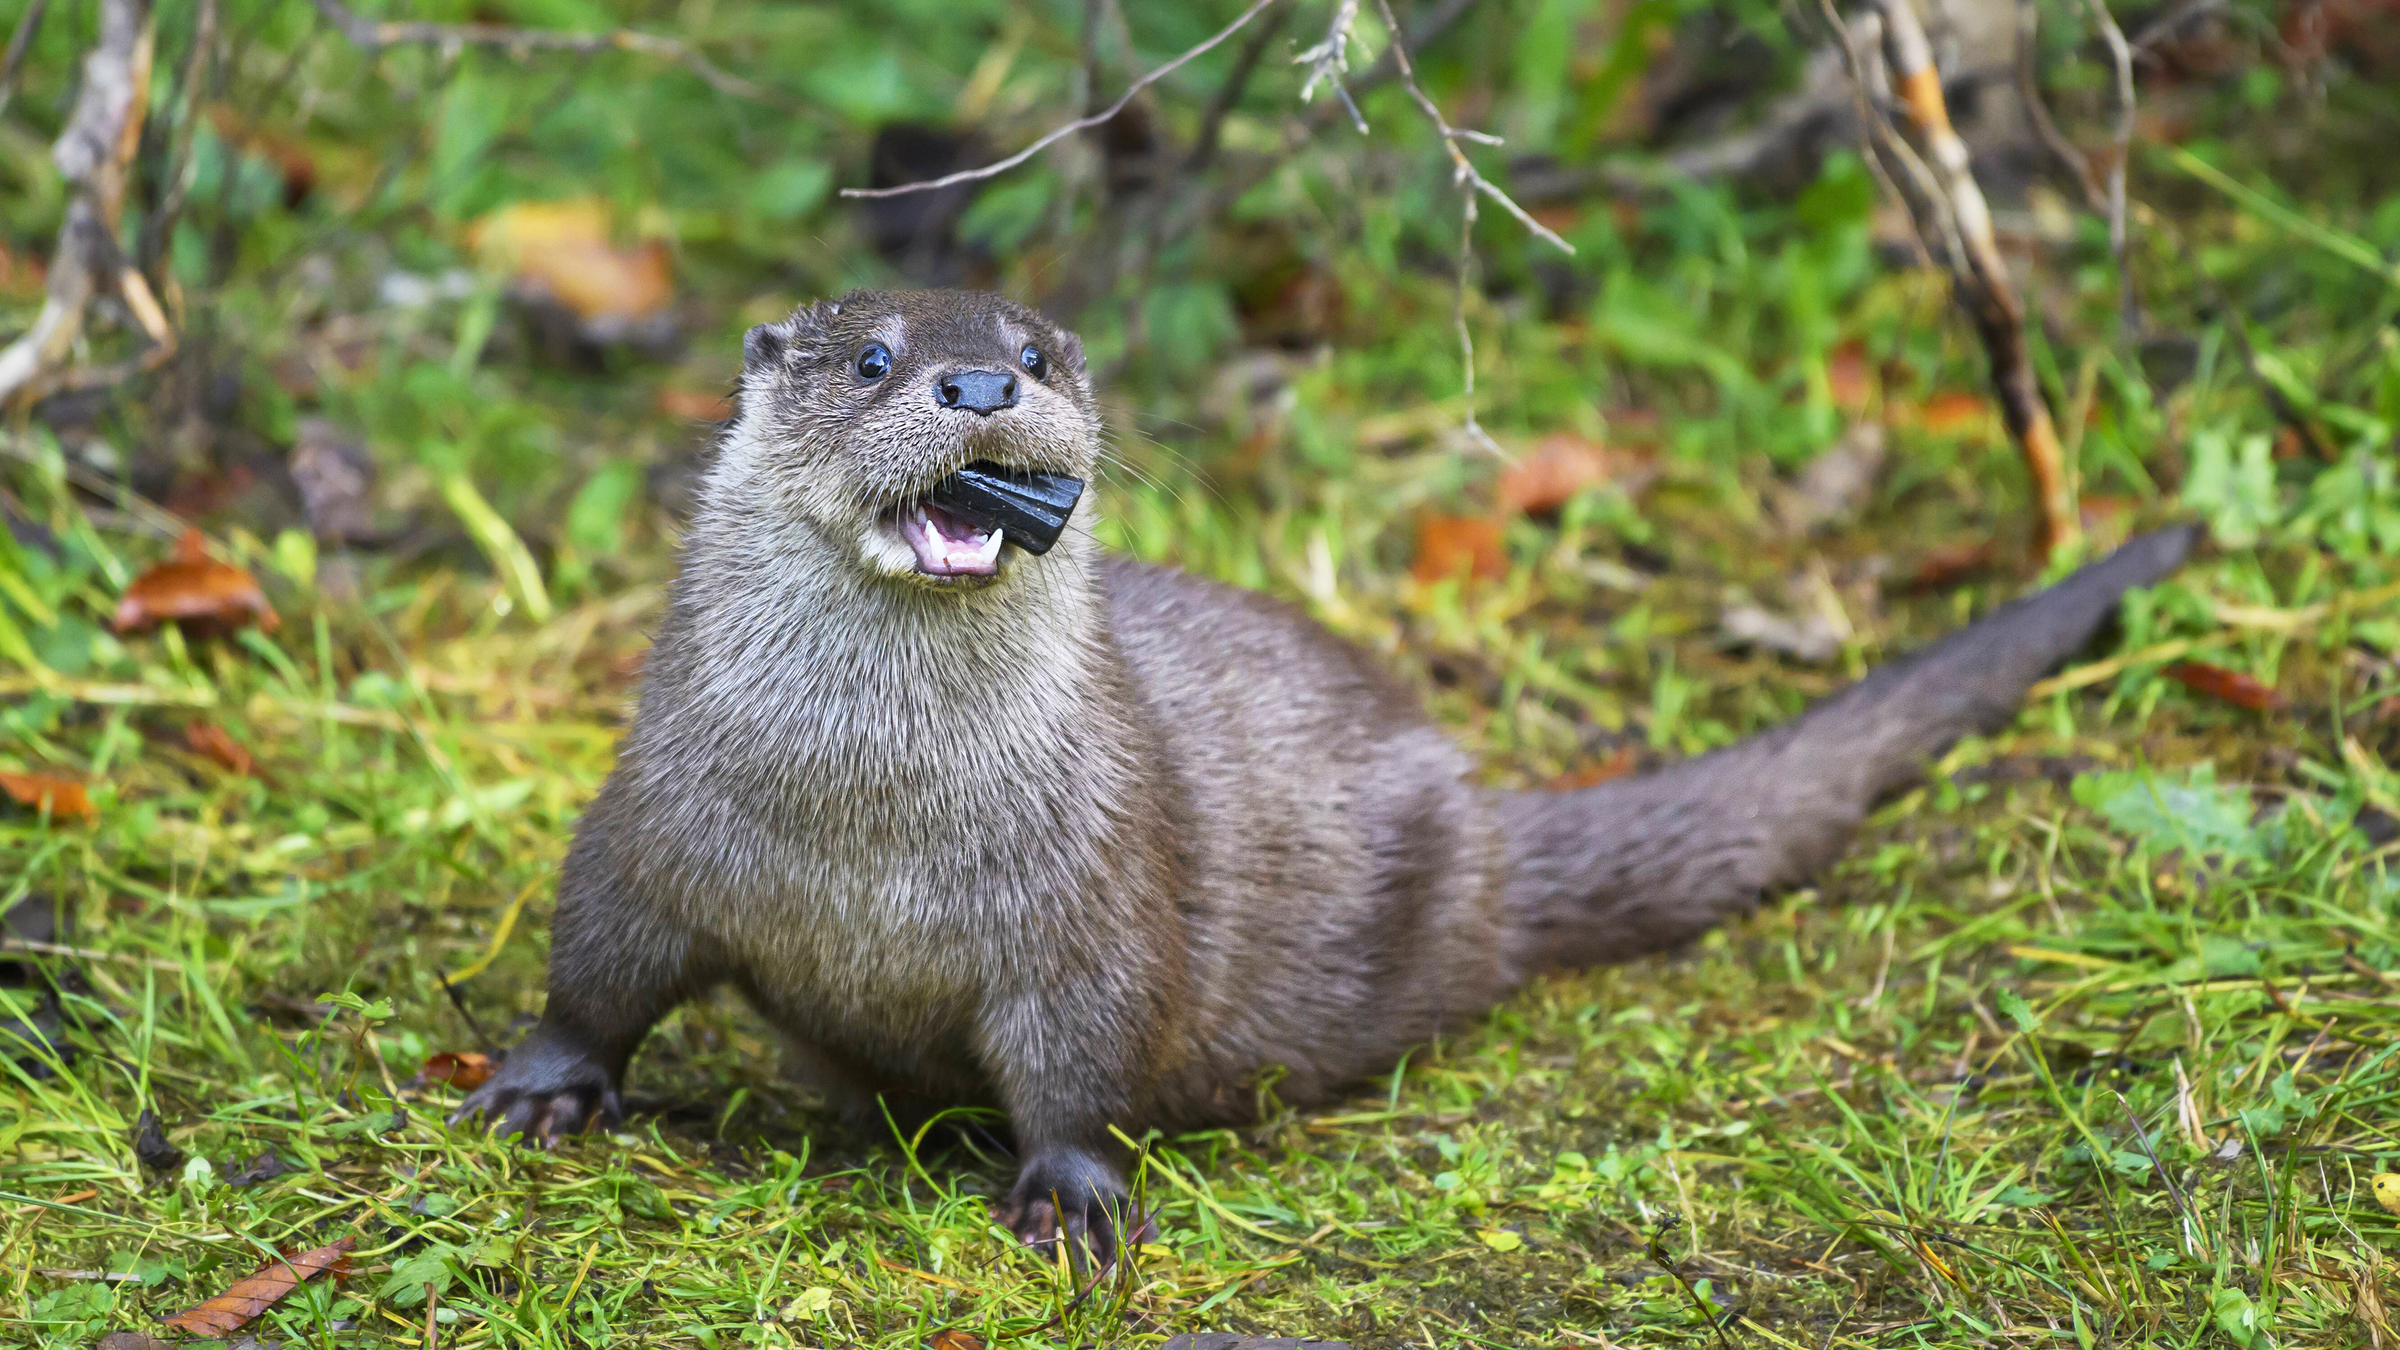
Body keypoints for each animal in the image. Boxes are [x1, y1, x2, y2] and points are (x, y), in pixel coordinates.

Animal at [456, 288, 2196, 1256]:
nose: (978, 386)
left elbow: (1085, 1052)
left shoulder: (1093, 891)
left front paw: (1069, 1194)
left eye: (1036, 352)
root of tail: (1486, 825)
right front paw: (542, 1087)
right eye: (877, 355)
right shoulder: (653, 818)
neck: (867, 823)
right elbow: (594, 966)